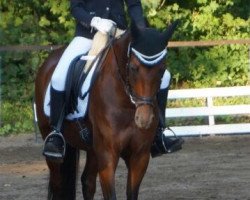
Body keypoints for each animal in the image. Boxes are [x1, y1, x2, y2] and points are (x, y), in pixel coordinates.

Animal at [35, 22, 179, 199]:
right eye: (133, 68)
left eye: (162, 69)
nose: (144, 120)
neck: (127, 104)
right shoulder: (108, 154)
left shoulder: (140, 156)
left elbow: (131, 193)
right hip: (53, 146)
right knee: (58, 184)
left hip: (92, 149)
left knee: (88, 182)